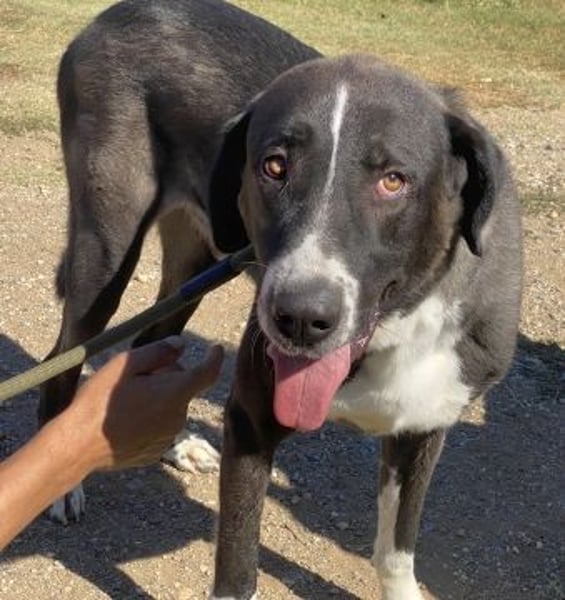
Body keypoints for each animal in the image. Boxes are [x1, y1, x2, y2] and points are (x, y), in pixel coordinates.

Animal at [43, 1, 522, 598]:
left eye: (394, 180)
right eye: (274, 166)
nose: (300, 318)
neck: (394, 329)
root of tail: (112, 14)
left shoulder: (425, 422)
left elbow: (396, 550)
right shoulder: (251, 417)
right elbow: (237, 569)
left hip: (197, 256)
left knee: (154, 338)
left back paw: (176, 443)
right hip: (107, 246)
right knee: (63, 356)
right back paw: (63, 480)